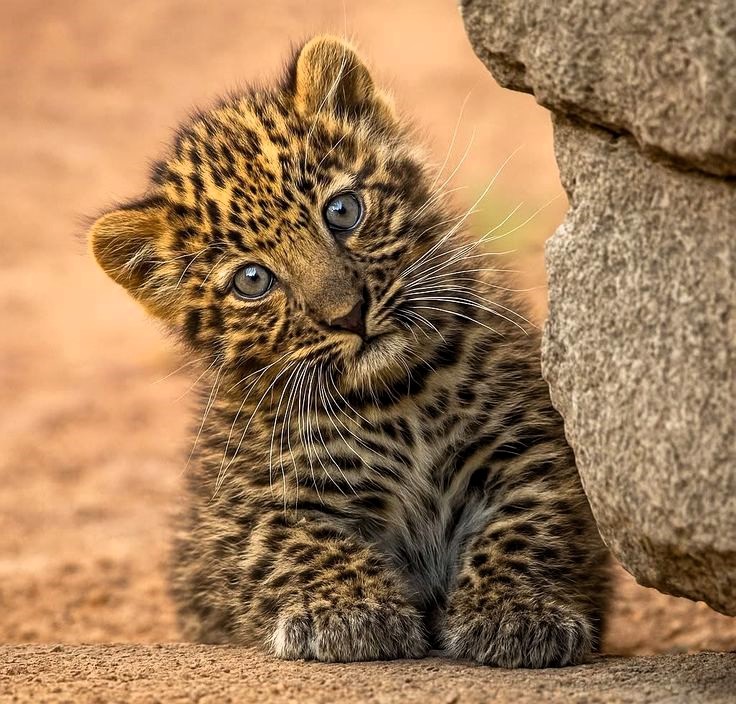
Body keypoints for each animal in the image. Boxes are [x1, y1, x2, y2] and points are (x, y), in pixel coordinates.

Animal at [89, 35, 610, 667]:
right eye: (252, 281)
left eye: (342, 211)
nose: (349, 315)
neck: (400, 397)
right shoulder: (248, 508)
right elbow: (300, 540)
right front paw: (351, 614)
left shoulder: (530, 450)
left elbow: (528, 524)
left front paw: (520, 614)